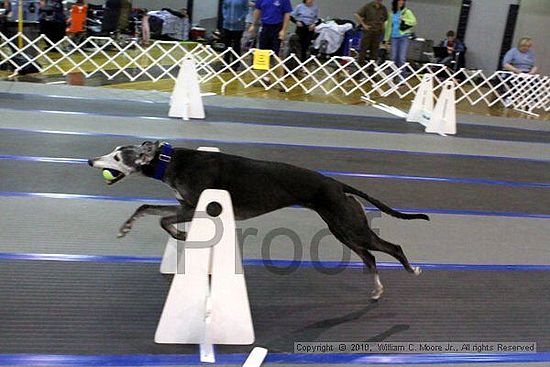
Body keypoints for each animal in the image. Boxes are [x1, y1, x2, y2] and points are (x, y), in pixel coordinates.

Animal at [89, 141, 432, 300]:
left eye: (118, 157)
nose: (91, 160)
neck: (170, 159)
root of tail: (336, 183)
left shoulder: (198, 207)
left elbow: (163, 221)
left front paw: (182, 236)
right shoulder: (185, 205)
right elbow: (146, 208)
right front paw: (126, 227)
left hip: (350, 226)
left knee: (392, 247)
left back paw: (412, 269)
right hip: (342, 229)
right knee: (371, 257)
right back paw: (377, 289)